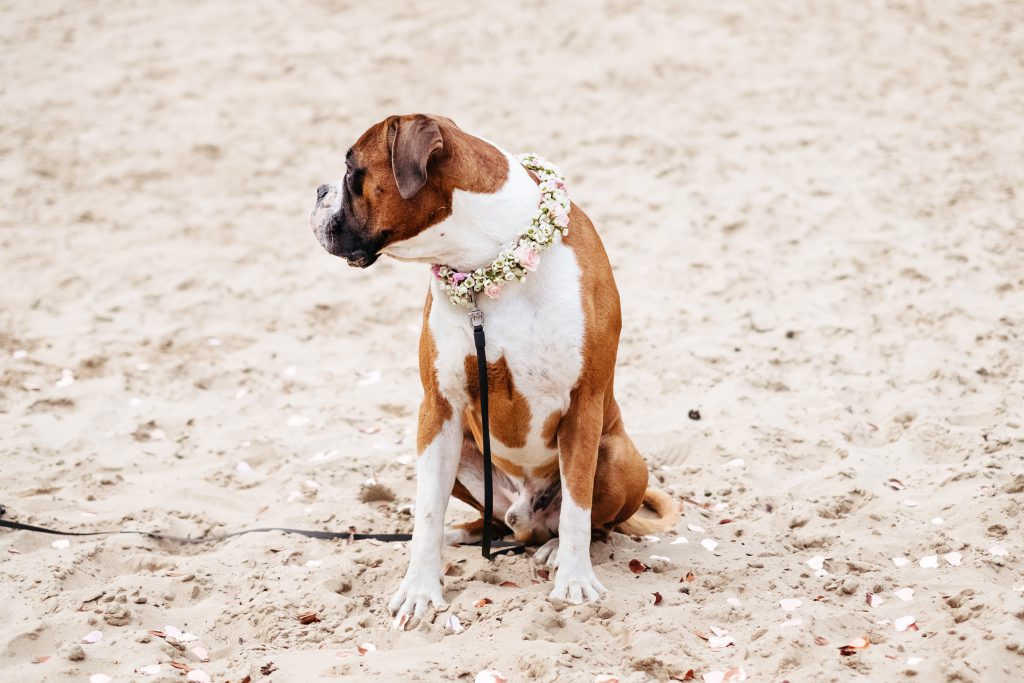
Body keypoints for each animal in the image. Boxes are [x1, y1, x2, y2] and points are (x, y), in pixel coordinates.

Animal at [311, 113, 679, 618]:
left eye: (352, 172)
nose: (318, 190)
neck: (485, 260)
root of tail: (527, 516)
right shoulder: (438, 410)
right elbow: (427, 511)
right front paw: (420, 589)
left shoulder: (583, 405)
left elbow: (578, 508)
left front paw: (575, 579)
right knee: (493, 521)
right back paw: (464, 534)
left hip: (616, 456)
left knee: (586, 523)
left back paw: (554, 550)